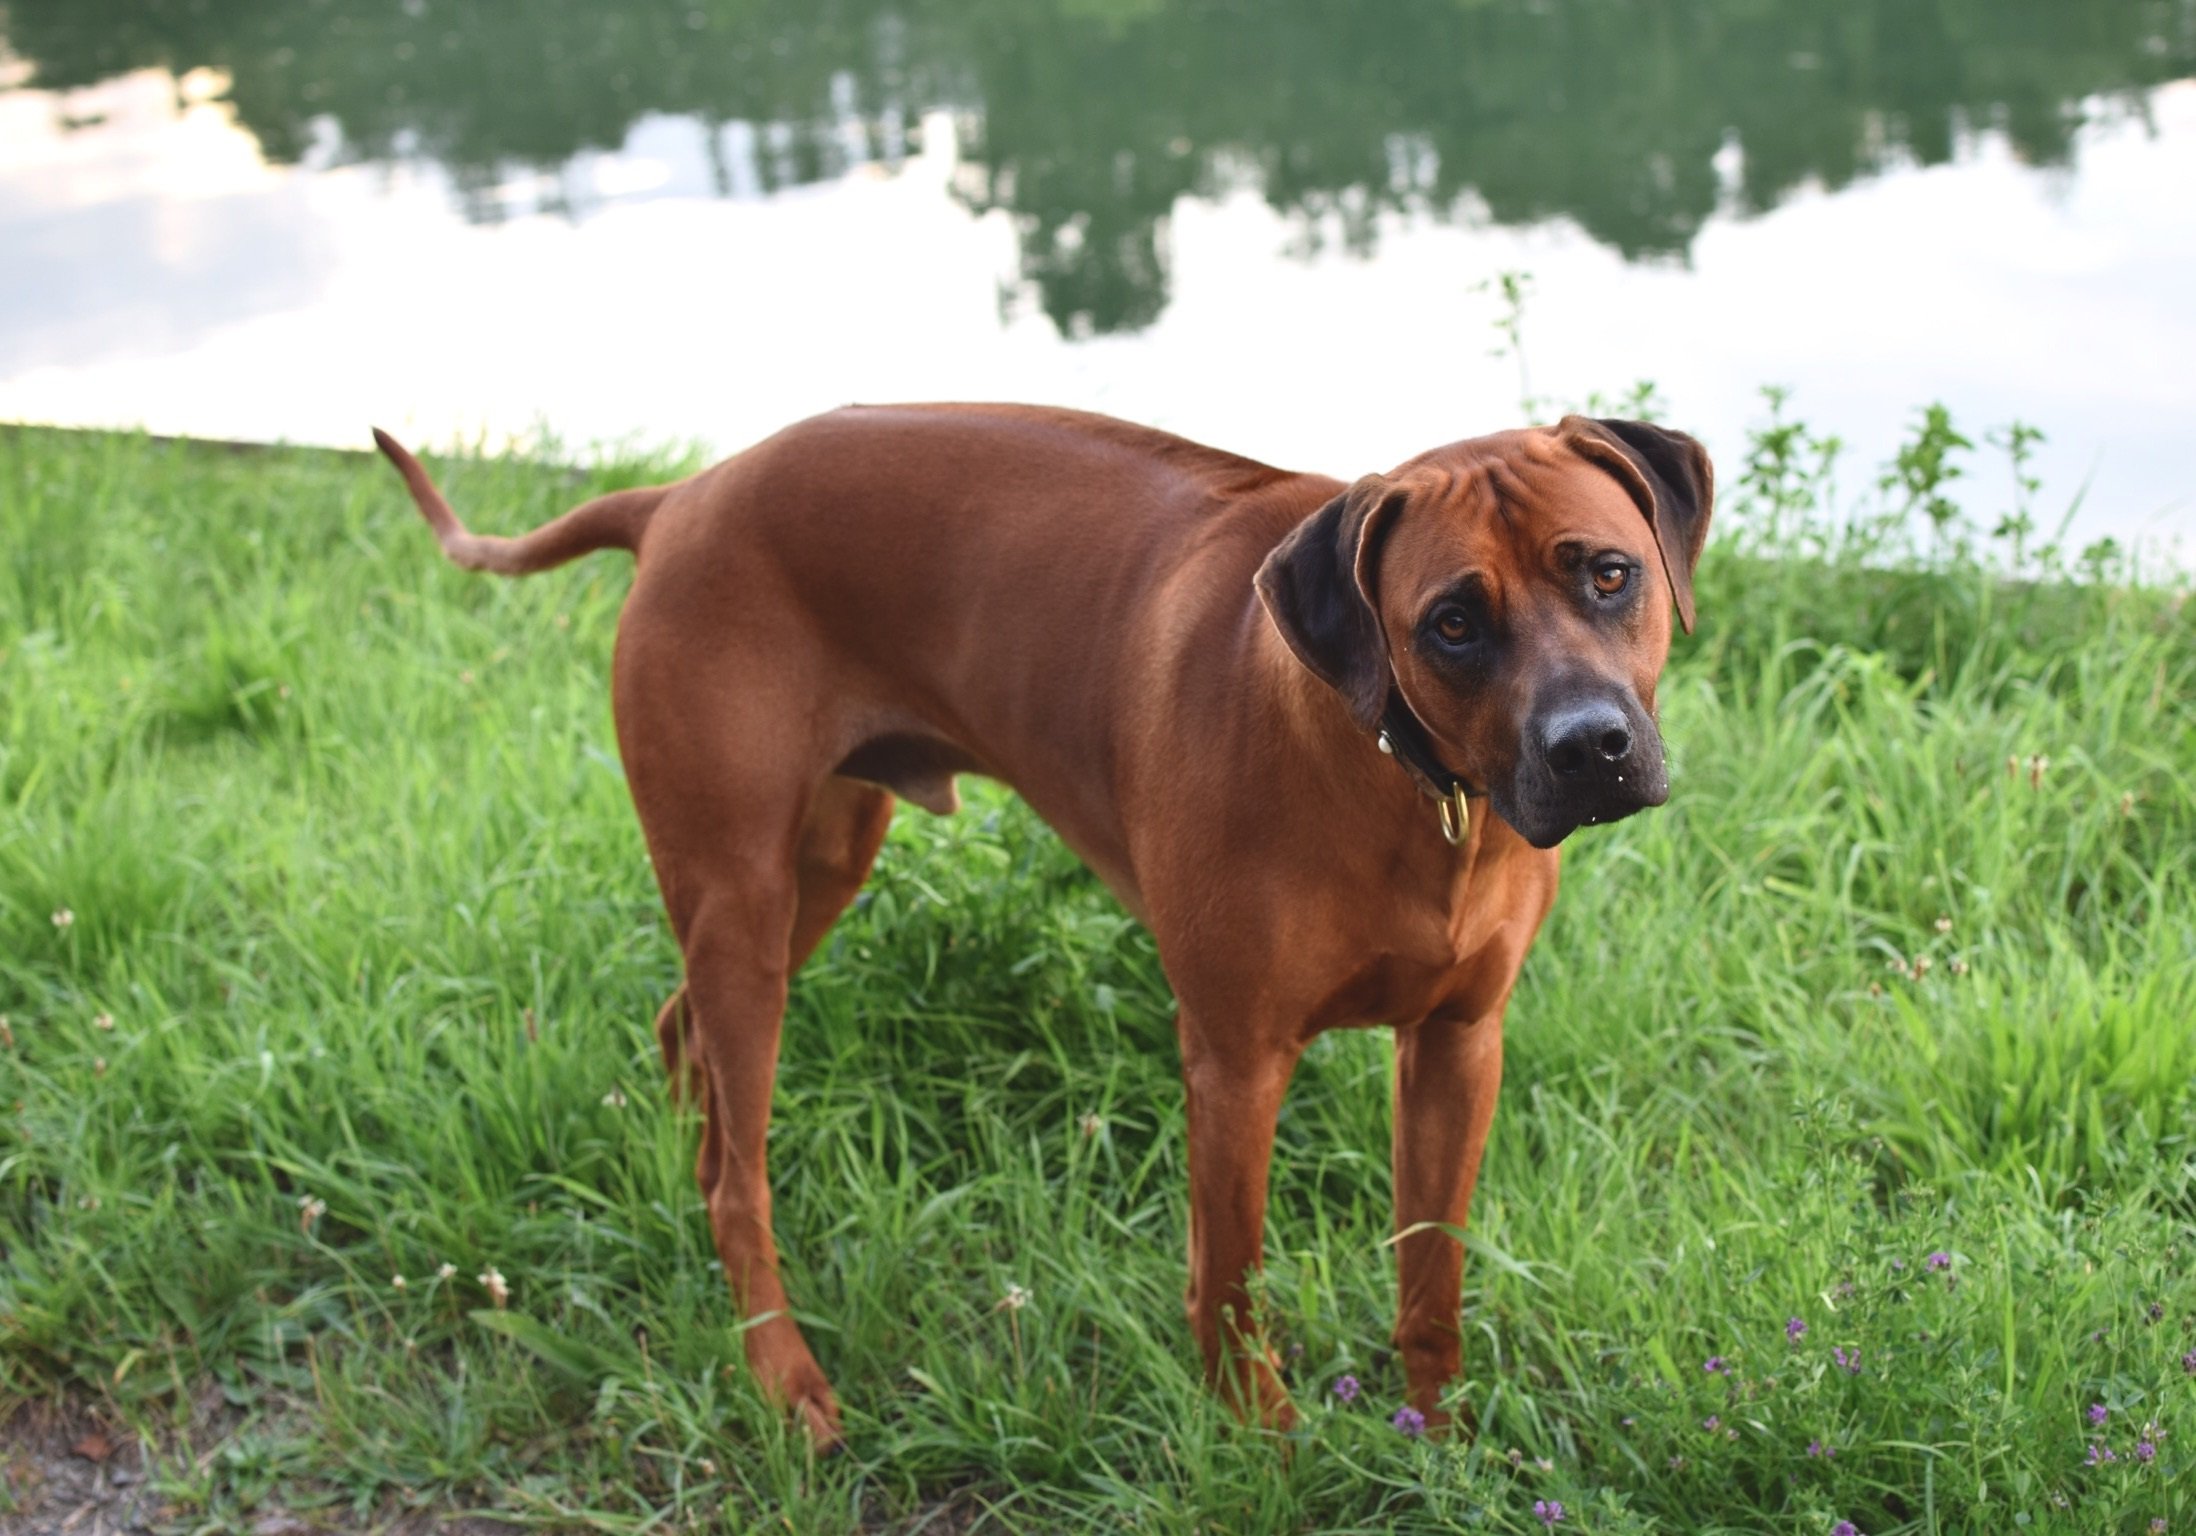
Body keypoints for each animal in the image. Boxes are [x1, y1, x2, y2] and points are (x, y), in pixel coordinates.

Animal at [373, 406, 1712, 1441]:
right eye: (1453, 622)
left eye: (1608, 573)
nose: (1590, 747)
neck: (1404, 778)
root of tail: (682, 496)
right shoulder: (1234, 1061)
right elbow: (1232, 1279)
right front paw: (1264, 1440)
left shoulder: (1458, 1043)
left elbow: (1432, 1270)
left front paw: (1441, 1437)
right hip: (743, 896)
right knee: (735, 1178)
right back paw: (784, 1373)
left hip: (816, 866)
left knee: (680, 1032)